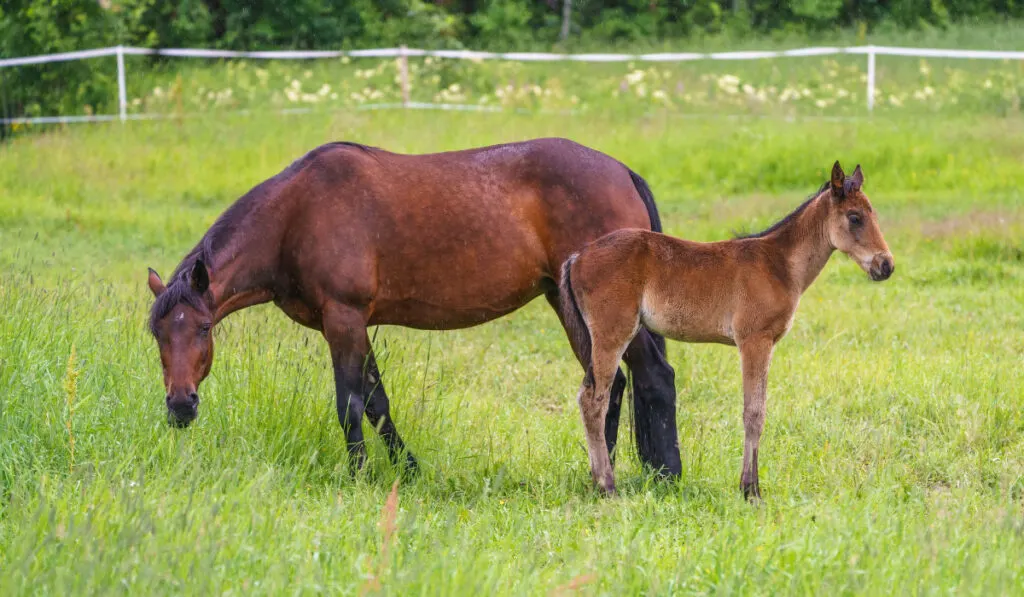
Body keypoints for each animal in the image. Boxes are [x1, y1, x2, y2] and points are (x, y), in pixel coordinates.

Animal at [146, 136, 688, 477]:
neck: (295, 215)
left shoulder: (343, 319)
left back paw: (665, 476)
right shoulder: (350, 325)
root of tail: (621, 172)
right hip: (569, 304)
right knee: (608, 386)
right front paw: (408, 470)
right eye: (157, 333)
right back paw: (602, 471)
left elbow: (350, 404)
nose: (180, 406)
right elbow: (377, 401)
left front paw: (359, 475)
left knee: (654, 376)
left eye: (202, 329)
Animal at [561, 160, 897, 497]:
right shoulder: (754, 340)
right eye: (854, 217)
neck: (777, 264)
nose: (886, 266)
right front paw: (751, 490)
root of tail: (577, 257)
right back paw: (607, 487)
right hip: (612, 334)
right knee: (594, 401)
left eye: (873, 214)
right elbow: (754, 413)